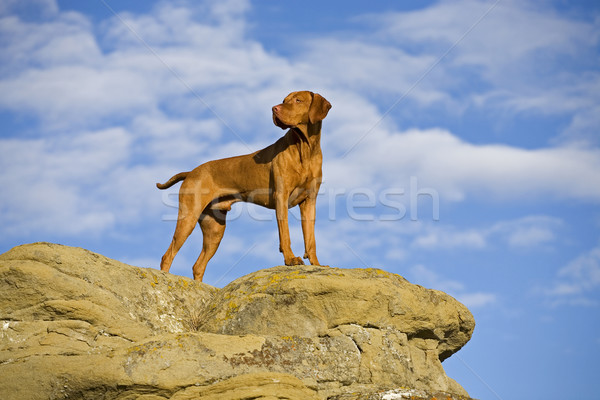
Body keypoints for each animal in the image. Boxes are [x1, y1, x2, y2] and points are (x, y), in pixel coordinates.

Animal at [157, 90, 330, 282]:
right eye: (284, 100)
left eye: (298, 100)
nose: (274, 108)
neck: (305, 149)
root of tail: (191, 172)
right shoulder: (281, 198)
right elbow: (285, 234)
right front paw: (291, 259)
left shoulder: (309, 202)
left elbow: (311, 239)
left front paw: (316, 264)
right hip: (188, 217)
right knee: (168, 255)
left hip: (215, 229)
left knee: (198, 265)